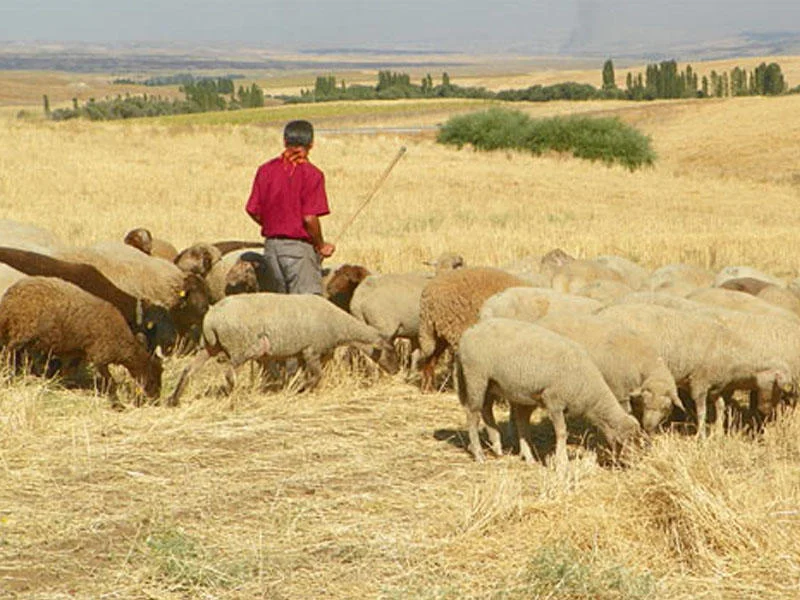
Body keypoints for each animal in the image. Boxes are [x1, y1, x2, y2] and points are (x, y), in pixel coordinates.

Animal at [0, 276, 162, 404]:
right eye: (152, 378)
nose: (156, 400)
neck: (121, 341)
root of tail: (8, 299)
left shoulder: (76, 353)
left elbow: (67, 372)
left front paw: (59, 386)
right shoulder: (99, 356)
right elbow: (110, 381)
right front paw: (116, 401)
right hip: (22, 333)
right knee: (8, 352)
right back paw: (8, 376)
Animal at [454, 318, 640, 468]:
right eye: (629, 439)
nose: (634, 463)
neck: (590, 393)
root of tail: (468, 332)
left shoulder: (530, 398)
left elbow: (523, 426)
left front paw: (529, 457)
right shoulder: (553, 401)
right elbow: (561, 432)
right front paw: (561, 462)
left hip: (492, 382)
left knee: (486, 409)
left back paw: (497, 446)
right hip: (476, 376)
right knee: (472, 414)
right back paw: (479, 454)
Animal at [596, 304, 792, 436]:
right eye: (777, 387)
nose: (770, 416)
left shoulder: (716, 386)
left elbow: (721, 407)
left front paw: (718, 433)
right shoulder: (700, 382)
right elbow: (702, 410)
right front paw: (701, 435)